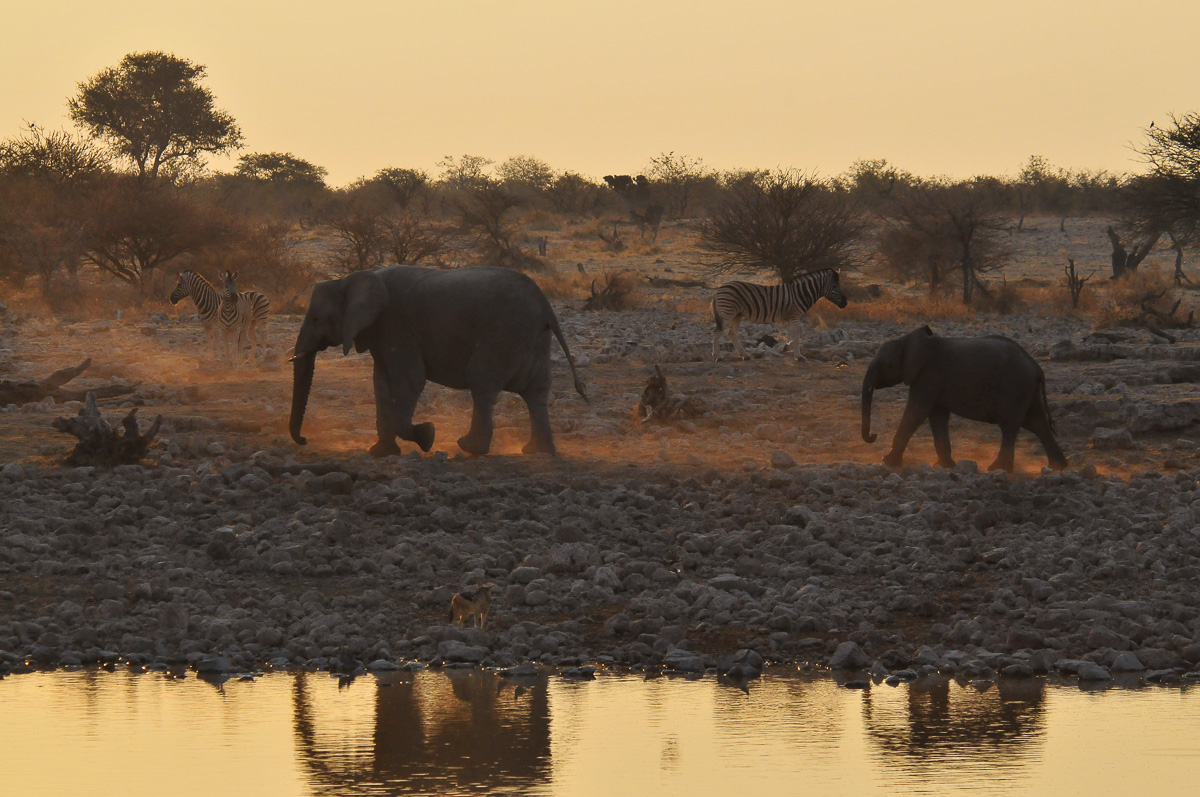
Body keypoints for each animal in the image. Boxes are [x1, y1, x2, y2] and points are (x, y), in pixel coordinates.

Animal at [289, 265, 587, 457]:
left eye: (315, 319)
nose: (303, 440)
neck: (352, 278)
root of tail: (546, 304)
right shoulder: (380, 334)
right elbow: (381, 383)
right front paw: (381, 453)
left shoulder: (397, 326)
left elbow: (409, 382)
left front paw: (427, 436)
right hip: (532, 337)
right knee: (536, 392)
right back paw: (538, 452)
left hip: (505, 333)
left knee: (482, 382)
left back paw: (469, 448)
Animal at [860, 326, 1067, 473]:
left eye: (884, 365)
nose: (873, 435)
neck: (907, 340)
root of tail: (1037, 367)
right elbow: (937, 417)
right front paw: (946, 466)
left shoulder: (927, 377)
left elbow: (916, 413)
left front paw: (887, 462)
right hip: (1027, 390)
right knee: (1038, 424)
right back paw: (1058, 467)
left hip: (1015, 387)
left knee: (1010, 426)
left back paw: (997, 469)